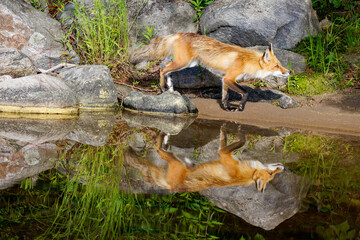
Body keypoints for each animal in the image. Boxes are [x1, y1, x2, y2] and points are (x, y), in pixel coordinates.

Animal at [124, 127, 284, 193]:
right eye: (271, 174)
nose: (282, 168)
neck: (247, 172)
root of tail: (171, 188)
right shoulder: (224, 153)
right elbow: (224, 139)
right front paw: (225, 128)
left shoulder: (224, 154)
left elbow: (241, 141)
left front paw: (239, 131)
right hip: (185, 161)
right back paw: (163, 138)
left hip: (178, 162)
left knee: (159, 150)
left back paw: (162, 136)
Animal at [130, 32, 290, 111]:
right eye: (277, 66)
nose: (288, 72)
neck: (246, 61)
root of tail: (179, 33)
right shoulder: (229, 78)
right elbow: (245, 92)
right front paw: (240, 107)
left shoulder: (225, 79)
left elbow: (225, 96)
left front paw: (226, 108)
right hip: (183, 62)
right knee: (163, 68)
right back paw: (163, 87)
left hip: (187, 63)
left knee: (166, 67)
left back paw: (170, 87)